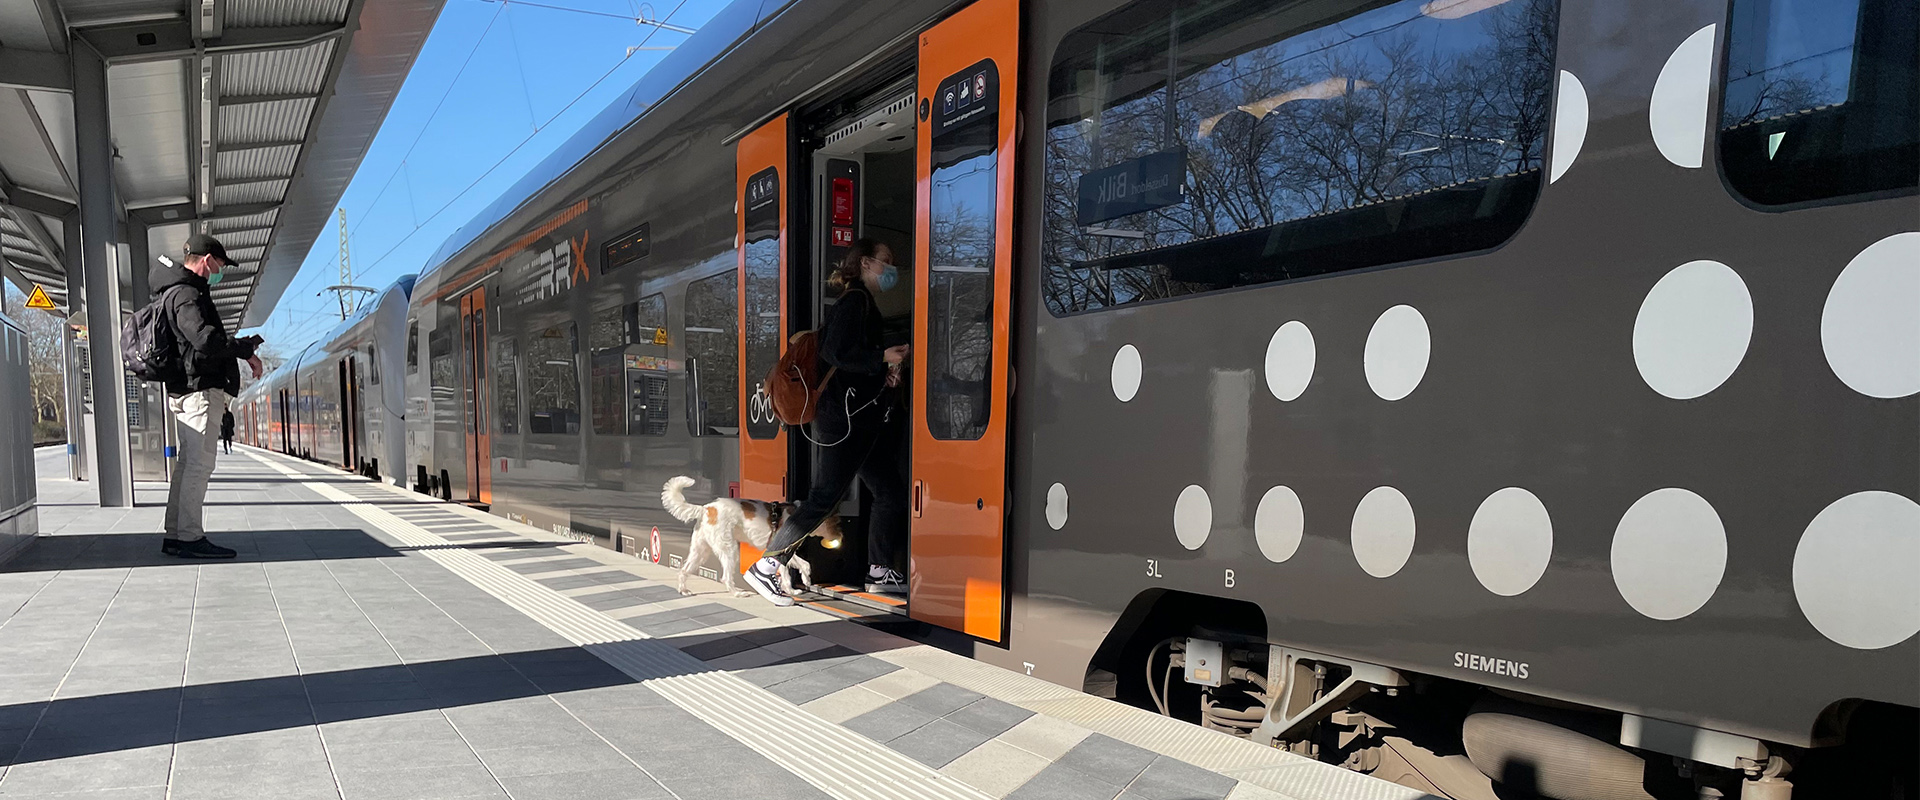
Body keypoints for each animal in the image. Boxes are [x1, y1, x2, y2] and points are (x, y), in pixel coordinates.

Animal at [660, 473, 840, 598]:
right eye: (837, 523)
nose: (840, 537)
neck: (799, 514)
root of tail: (706, 509)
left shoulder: (783, 551)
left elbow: (797, 567)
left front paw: (797, 587)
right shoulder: (783, 548)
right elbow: (797, 568)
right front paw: (799, 584)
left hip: (700, 551)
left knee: (683, 570)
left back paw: (684, 590)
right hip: (729, 550)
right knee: (725, 577)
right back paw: (737, 593)